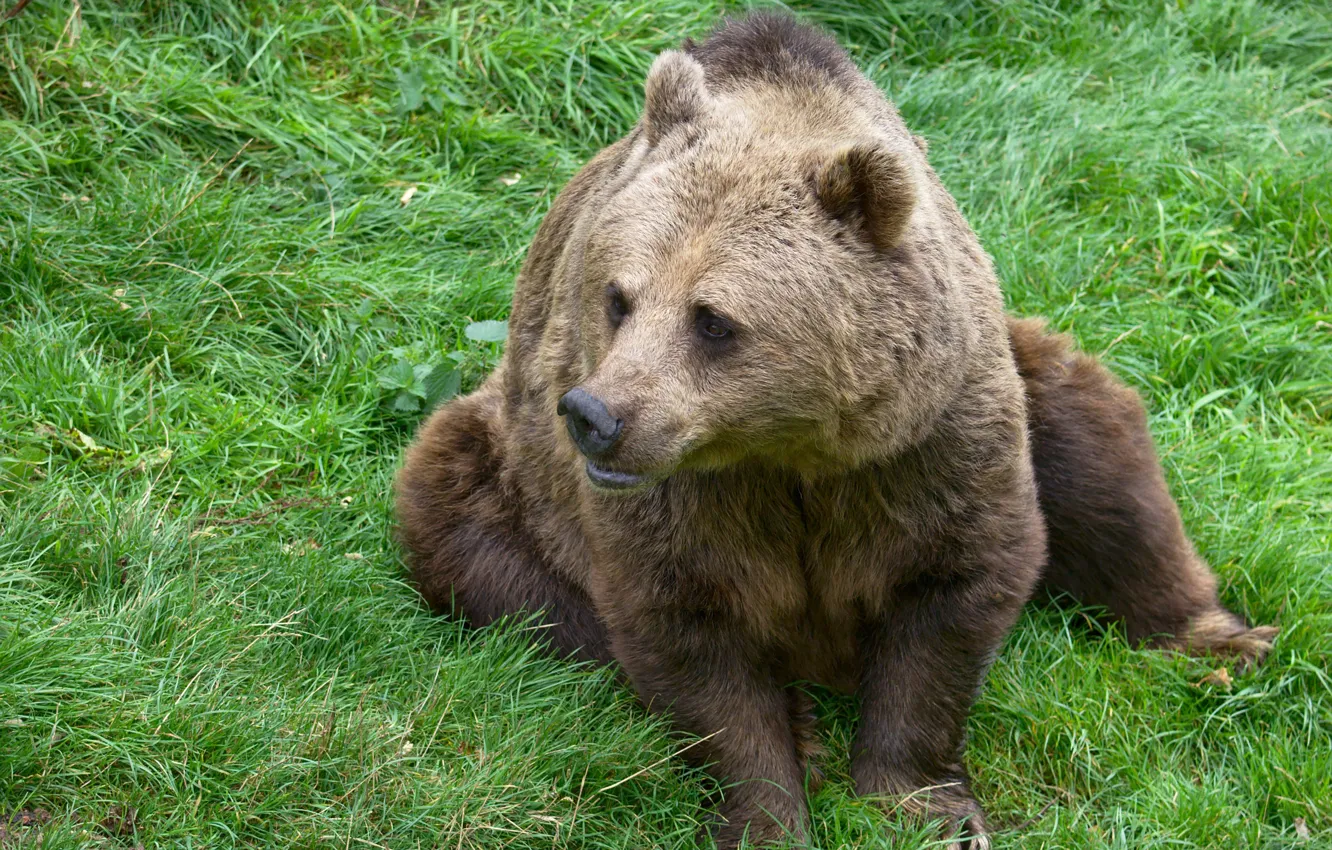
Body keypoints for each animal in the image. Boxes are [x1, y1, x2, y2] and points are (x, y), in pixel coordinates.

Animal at [395, 12, 1277, 848]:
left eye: (712, 319)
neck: (791, 447)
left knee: (1104, 465)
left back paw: (1220, 641)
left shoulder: (925, 444)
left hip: (1031, 378)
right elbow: (686, 634)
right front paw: (767, 810)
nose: (595, 416)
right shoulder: (688, 500)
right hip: (508, 470)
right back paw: (803, 720)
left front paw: (922, 807)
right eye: (618, 296)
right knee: (492, 561)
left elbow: (953, 589)